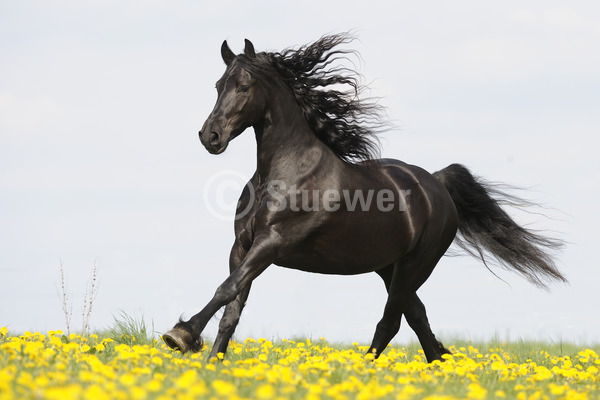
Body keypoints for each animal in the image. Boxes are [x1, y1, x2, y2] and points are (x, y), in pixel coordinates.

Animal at [162, 32, 564, 360]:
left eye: (244, 86)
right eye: (218, 85)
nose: (210, 136)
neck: (283, 173)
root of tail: (435, 184)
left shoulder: (272, 242)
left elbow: (226, 289)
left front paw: (180, 335)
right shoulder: (242, 245)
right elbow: (232, 306)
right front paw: (210, 364)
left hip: (416, 264)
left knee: (392, 322)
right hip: (389, 266)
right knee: (417, 318)